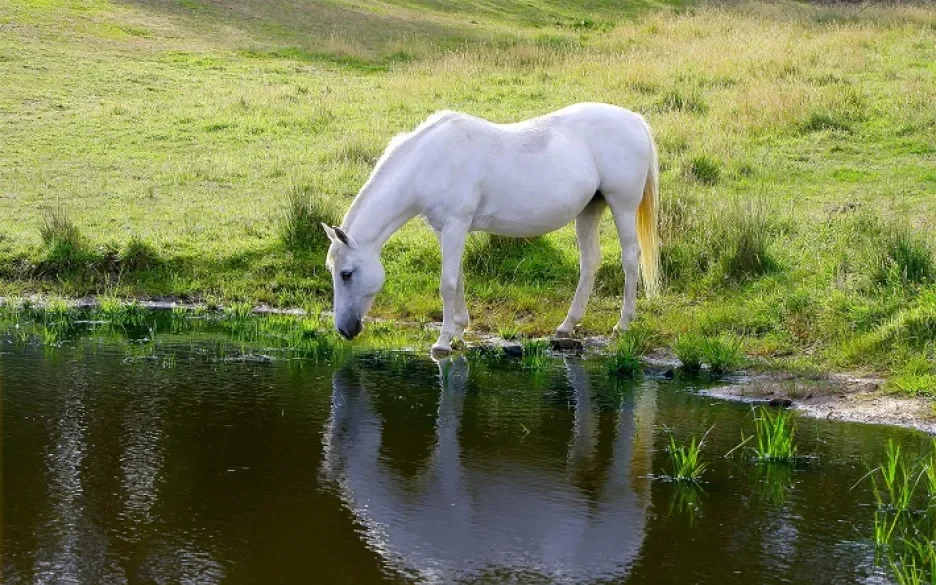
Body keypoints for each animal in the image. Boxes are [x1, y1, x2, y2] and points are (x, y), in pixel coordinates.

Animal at [326, 100, 660, 352]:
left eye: (346, 274)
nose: (344, 329)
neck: (429, 160)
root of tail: (634, 120)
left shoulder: (455, 225)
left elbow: (447, 283)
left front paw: (443, 342)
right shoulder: (444, 230)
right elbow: (457, 278)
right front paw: (459, 330)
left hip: (622, 206)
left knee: (630, 259)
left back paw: (623, 324)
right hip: (590, 210)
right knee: (590, 263)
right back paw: (567, 326)